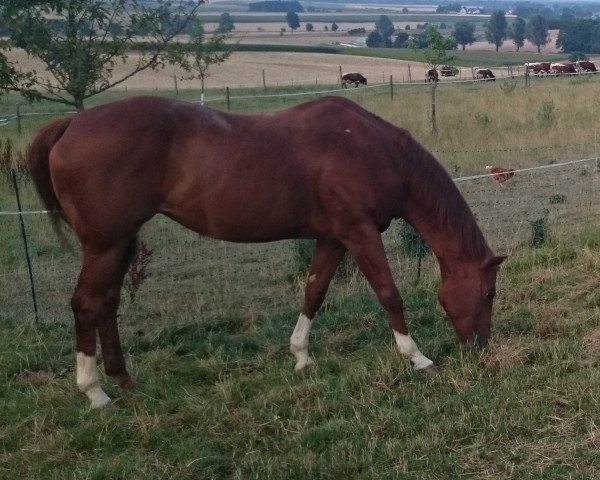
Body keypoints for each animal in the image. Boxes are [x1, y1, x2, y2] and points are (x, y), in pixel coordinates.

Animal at [29, 94, 506, 408]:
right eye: (488, 293)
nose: (479, 348)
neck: (372, 149)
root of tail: (71, 125)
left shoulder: (333, 238)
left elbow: (314, 292)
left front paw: (301, 356)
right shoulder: (360, 233)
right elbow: (390, 294)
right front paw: (418, 358)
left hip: (121, 242)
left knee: (106, 304)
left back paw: (124, 380)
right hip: (105, 244)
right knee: (87, 304)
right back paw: (95, 393)